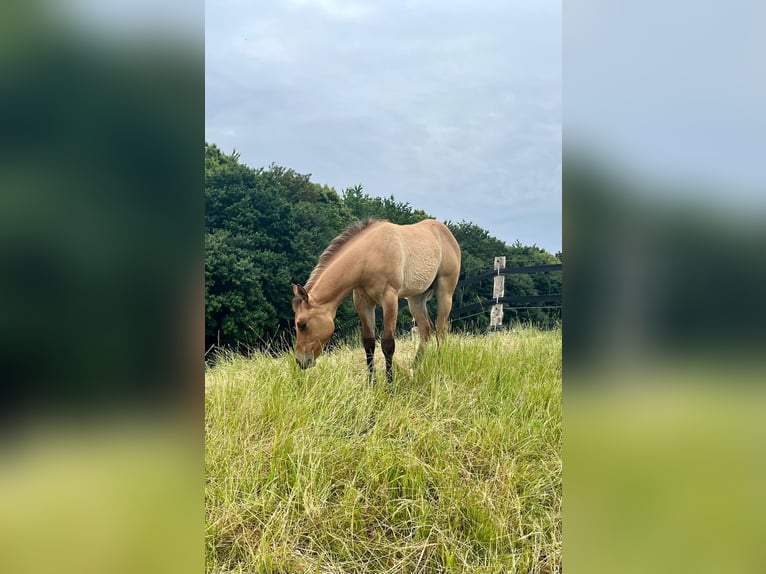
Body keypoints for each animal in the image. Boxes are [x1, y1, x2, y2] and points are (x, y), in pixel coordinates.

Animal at [291, 218, 462, 382]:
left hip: (445, 293)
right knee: (426, 330)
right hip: (416, 299)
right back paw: (414, 368)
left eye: (302, 324)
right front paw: (371, 383)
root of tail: (447, 233)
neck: (369, 256)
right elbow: (369, 343)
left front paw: (389, 385)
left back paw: (438, 364)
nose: (300, 361)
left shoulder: (389, 299)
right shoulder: (363, 302)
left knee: (441, 329)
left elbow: (388, 344)